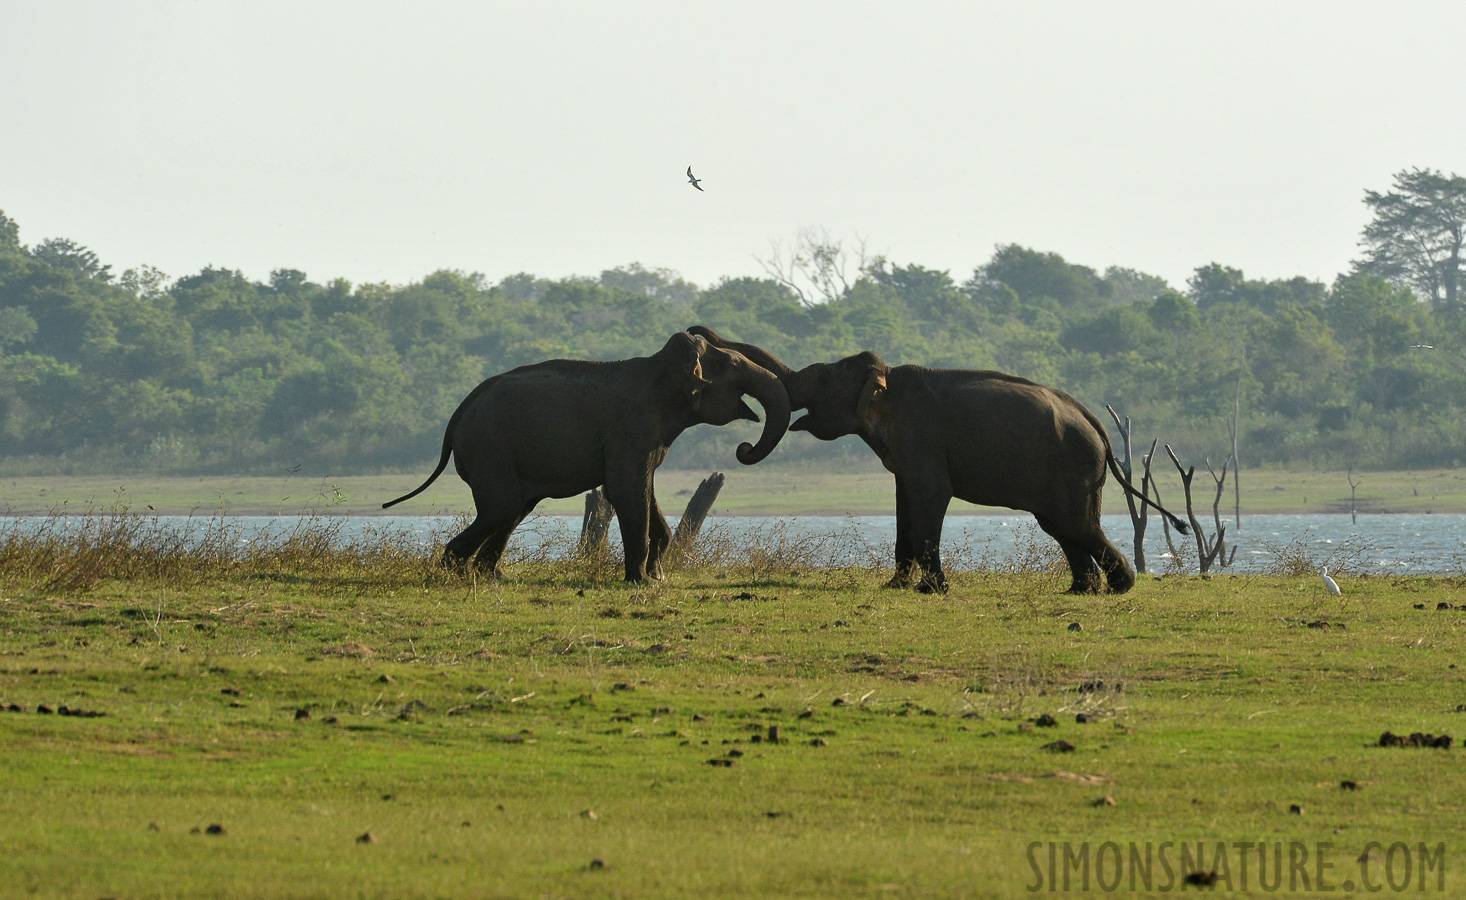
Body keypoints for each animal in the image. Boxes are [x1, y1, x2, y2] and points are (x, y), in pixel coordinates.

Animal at [381, 331, 791, 586]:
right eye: (734, 367)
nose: (744, 448)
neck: (659, 367)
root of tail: (457, 416)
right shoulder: (631, 430)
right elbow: (626, 492)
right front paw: (641, 582)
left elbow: (645, 492)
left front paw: (657, 577)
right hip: (488, 449)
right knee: (502, 508)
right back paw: (452, 571)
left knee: (513, 509)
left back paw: (493, 576)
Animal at [689, 328, 1190, 595]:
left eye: (819, 379)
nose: (695, 332)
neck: (888, 380)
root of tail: (1097, 423)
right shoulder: (907, 454)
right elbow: (904, 503)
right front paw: (897, 587)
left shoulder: (923, 441)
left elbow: (931, 496)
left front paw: (932, 590)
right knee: (1062, 526)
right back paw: (1083, 589)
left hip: (1073, 469)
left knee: (1075, 524)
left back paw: (1118, 588)